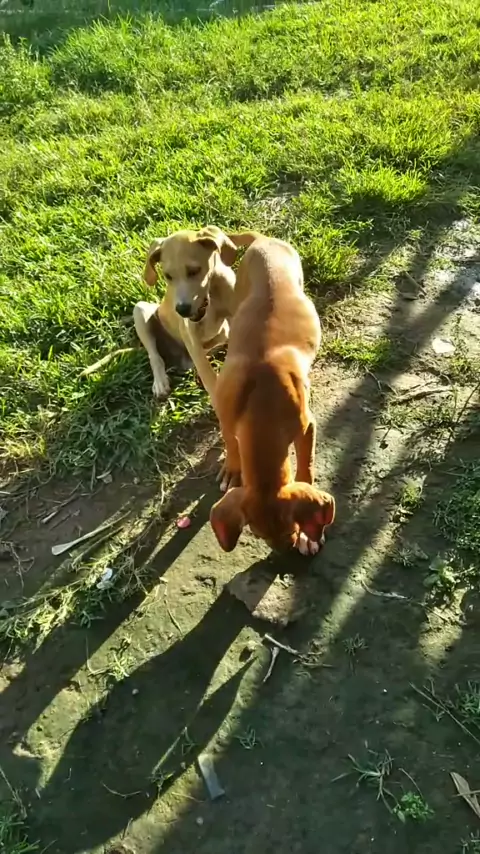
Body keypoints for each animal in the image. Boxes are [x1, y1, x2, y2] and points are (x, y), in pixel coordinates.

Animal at [133, 226, 257, 401]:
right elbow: (209, 377)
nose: (182, 310)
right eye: (167, 276)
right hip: (140, 309)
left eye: (194, 271)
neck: (211, 296)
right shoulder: (191, 336)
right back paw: (160, 383)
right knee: (155, 355)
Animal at [209, 236, 335, 556]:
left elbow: (306, 465)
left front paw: (310, 537)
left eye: (293, 528)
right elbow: (230, 440)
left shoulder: (307, 426)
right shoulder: (225, 414)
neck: (263, 406)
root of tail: (263, 239)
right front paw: (232, 468)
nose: (284, 551)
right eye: (256, 533)